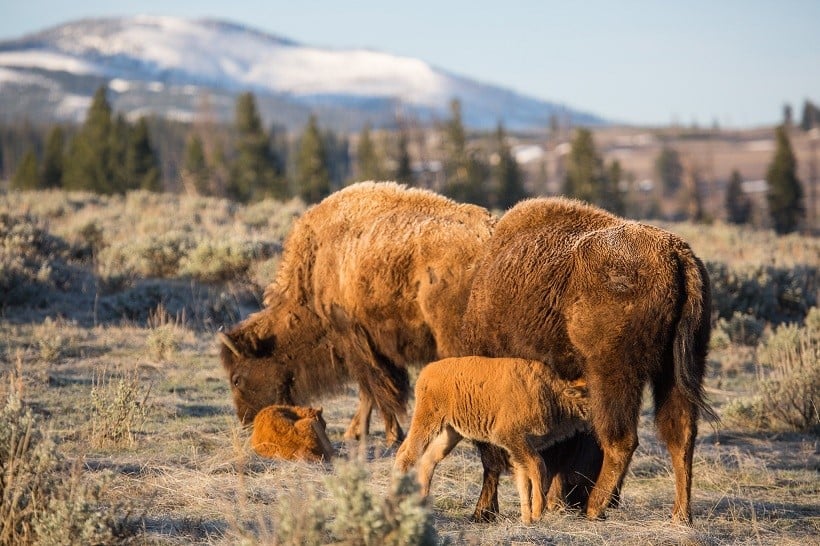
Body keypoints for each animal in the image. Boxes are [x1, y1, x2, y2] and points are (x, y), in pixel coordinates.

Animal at [216, 181, 494, 444]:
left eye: (237, 379)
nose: (246, 421)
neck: (315, 266)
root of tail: (488, 237)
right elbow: (368, 393)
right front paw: (355, 432)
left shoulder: (357, 342)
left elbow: (377, 389)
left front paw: (391, 435)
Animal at [394, 354, 588, 520]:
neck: (552, 391)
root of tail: (426, 371)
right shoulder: (512, 438)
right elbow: (538, 466)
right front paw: (537, 513)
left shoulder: (520, 447)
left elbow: (523, 479)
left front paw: (527, 520)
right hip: (427, 422)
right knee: (407, 455)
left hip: (449, 433)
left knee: (428, 460)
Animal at [462, 197, 716, 524]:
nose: (572, 500)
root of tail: (677, 256)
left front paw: (485, 510)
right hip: (680, 369)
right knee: (680, 435)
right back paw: (679, 515)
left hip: (612, 372)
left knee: (621, 439)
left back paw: (595, 508)